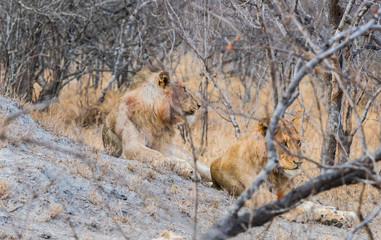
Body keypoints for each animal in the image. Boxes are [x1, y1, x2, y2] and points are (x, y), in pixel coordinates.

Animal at [211, 118, 356, 229]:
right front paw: (299, 213)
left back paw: (342, 215)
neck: (272, 171)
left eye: (298, 141)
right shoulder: (254, 192)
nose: (299, 162)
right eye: (284, 143)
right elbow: (277, 202)